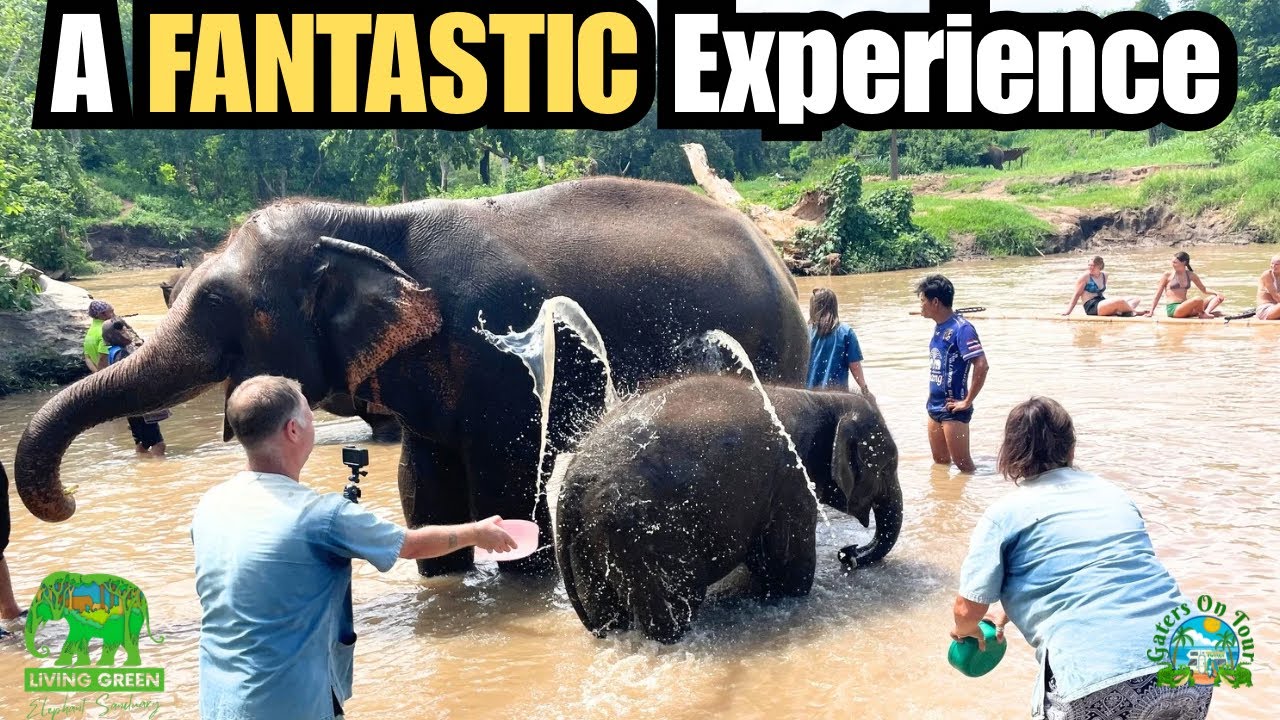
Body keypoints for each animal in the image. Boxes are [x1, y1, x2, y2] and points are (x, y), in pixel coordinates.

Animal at [25, 571, 163, 666]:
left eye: (41, 602)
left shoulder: (76, 614)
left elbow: (75, 635)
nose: (45, 650)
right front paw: (80, 664)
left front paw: (60, 664)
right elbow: (82, 638)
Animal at [555, 375, 902, 643]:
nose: (848, 553)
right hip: (639, 533)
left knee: (607, 614)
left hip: (589, 541)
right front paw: (789, 594)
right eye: (888, 467)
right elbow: (788, 562)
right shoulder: (791, 479)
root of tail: (570, 488)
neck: (823, 399)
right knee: (672, 611)